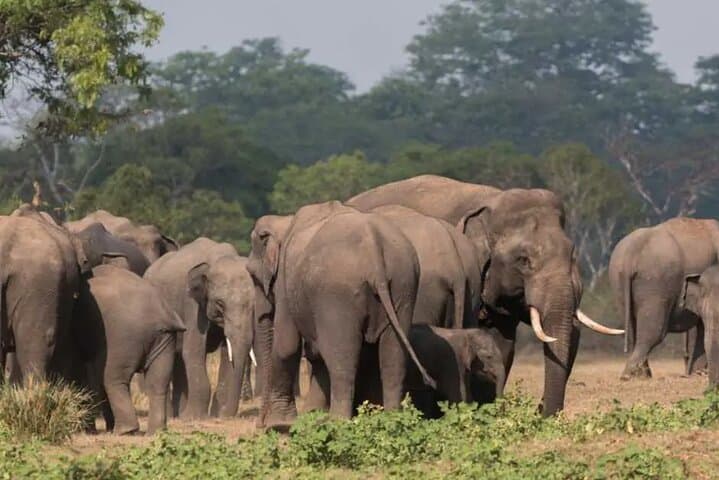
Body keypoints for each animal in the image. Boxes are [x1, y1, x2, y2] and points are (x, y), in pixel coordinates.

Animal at [76, 265, 185, 434]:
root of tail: (161, 312)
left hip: (122, 336)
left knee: (112, 378)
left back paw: (124, 431)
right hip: (165, 337)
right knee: (158, 381)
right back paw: (156, 431)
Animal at [144, 237, 254, 419]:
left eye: (253, 303)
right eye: (220, 303)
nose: (228, 414)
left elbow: (226, 353)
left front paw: (217, 415)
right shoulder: (191, 305)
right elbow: (194, 350)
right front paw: (194, 417)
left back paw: (179, 413)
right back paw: (175, 415)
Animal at [247, 201, 435, 429]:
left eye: (252, 275)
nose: (259, 425)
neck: (285, 221)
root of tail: (374, 245)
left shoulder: (285, 279)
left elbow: (287, 345)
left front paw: (280, 424)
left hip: (336, 296)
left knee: (342, 360)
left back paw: (337, 422)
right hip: (404, 284)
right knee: (393, 358)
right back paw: (392, 420)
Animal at [609, 217, 719, 380]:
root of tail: (631, 253)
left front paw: (697, 373)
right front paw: (699, 374)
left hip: (619, 282)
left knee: (633, 330)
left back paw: (642, 374)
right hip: (656, 283)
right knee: (654, 332)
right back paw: (631, 375)